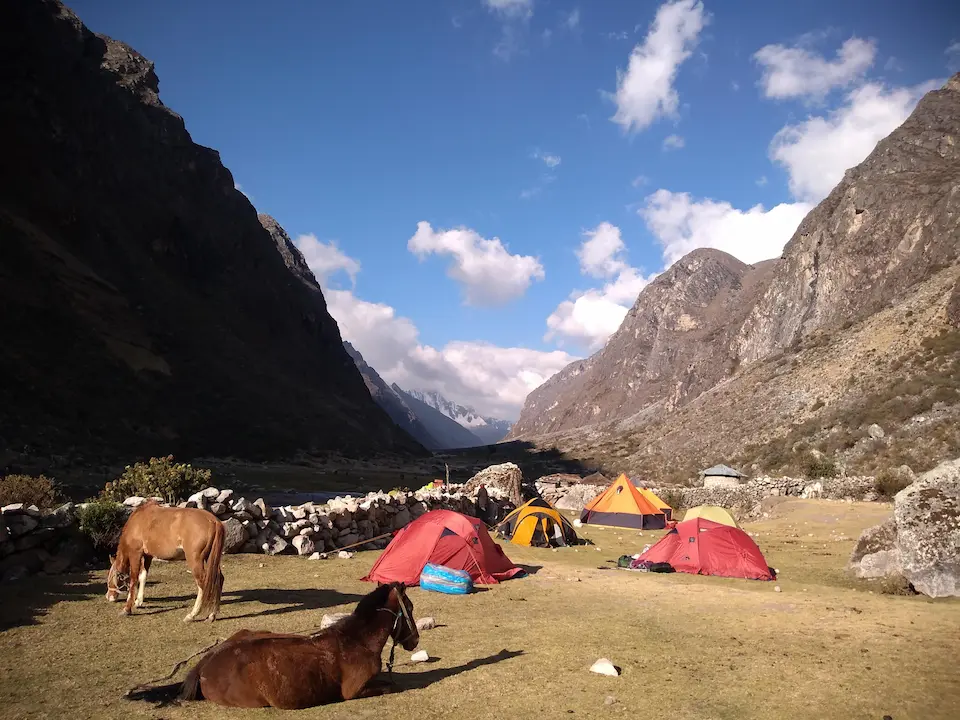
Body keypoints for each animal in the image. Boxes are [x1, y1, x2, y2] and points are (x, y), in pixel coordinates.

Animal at [125, 584, 418, 704]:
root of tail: (204, 665)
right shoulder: (354, 691)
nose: (414, 640)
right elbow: (390, 685)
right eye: (411, 607)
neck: (357, 641)